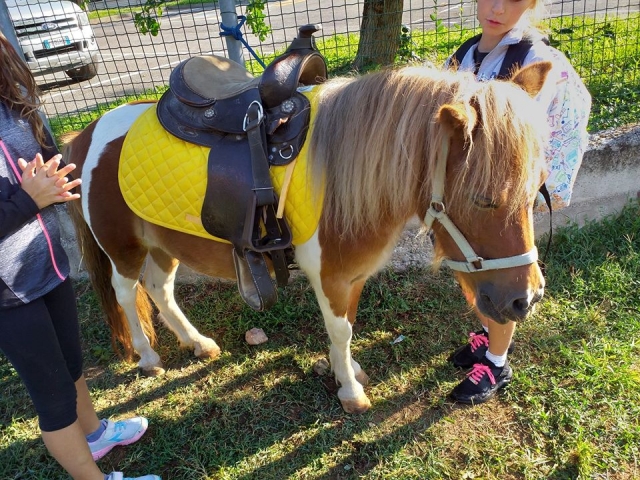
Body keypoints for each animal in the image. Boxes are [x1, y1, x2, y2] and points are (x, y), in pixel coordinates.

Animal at [63, 61, 552, 414]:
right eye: (484, 199)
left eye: (536, 191)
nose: (525, 300)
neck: (340, 178)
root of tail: (85, 135)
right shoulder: (330, 278)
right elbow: (341, 330)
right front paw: (351, 391)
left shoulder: (351, 279)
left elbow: (347, 328)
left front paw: (345, 369)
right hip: (122, 247)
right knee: (126, 292)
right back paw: (148, 357)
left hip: (165, 243)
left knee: (160, 289)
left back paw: (197, 343)